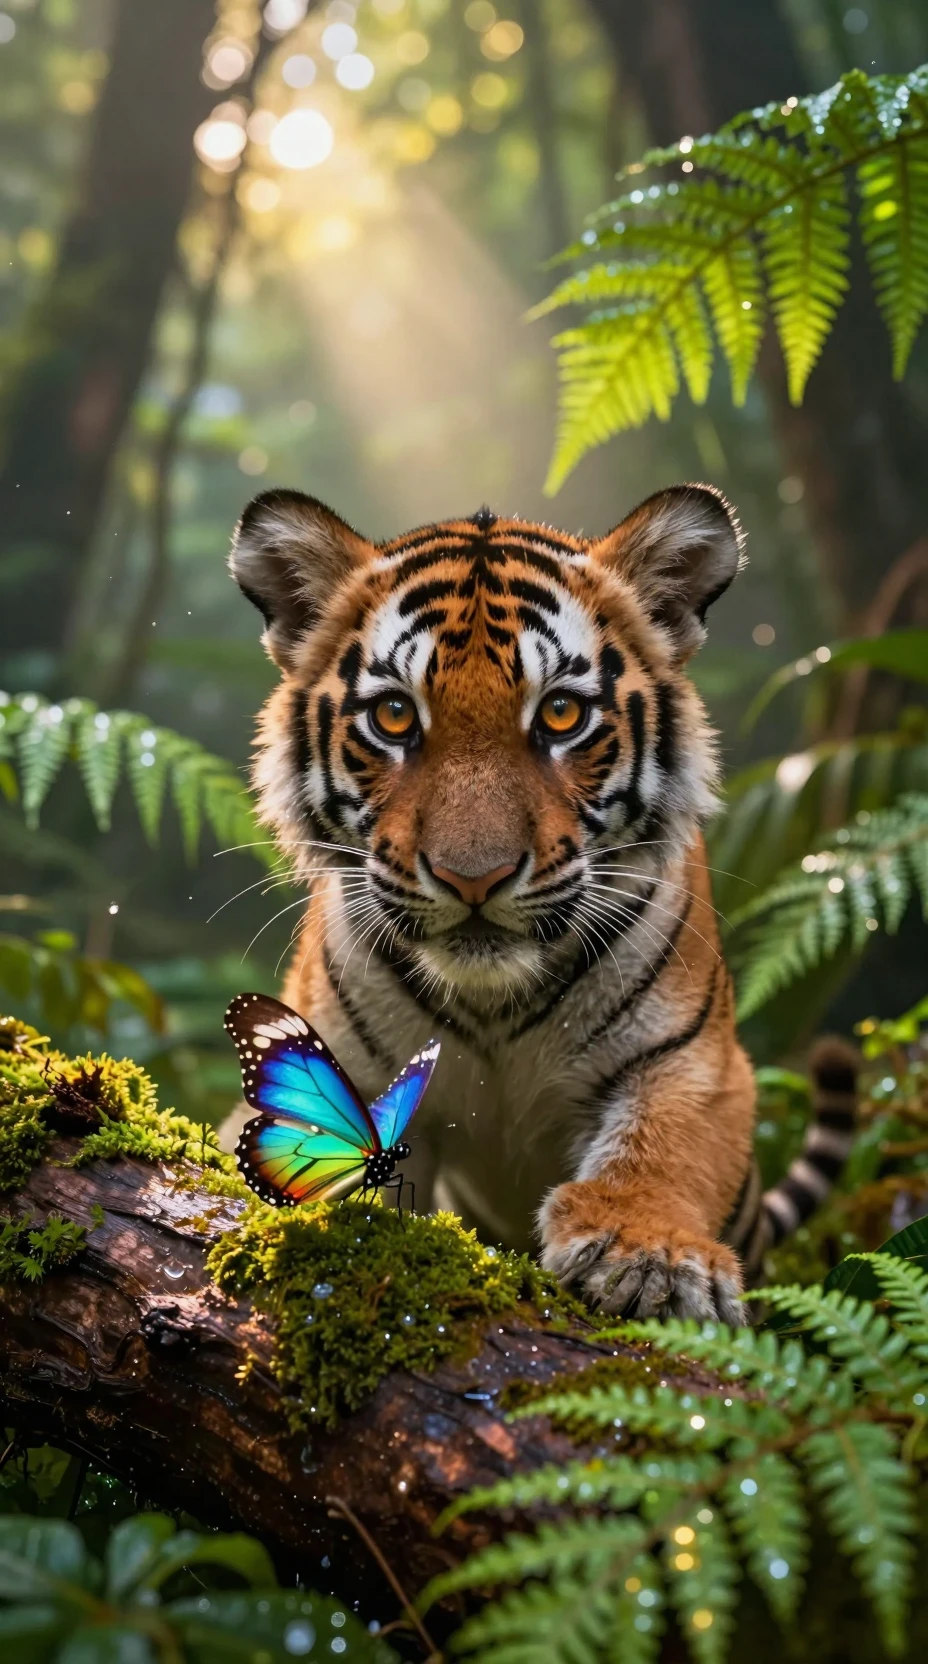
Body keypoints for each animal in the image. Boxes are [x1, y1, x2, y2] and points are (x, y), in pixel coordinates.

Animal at [222, 483, 857, 1324]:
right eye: (394, 716)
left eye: (561, 714)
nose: (473, 877)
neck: (493, 1002)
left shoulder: (695, 1059)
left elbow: (668, 1148)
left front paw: (649, 1257)